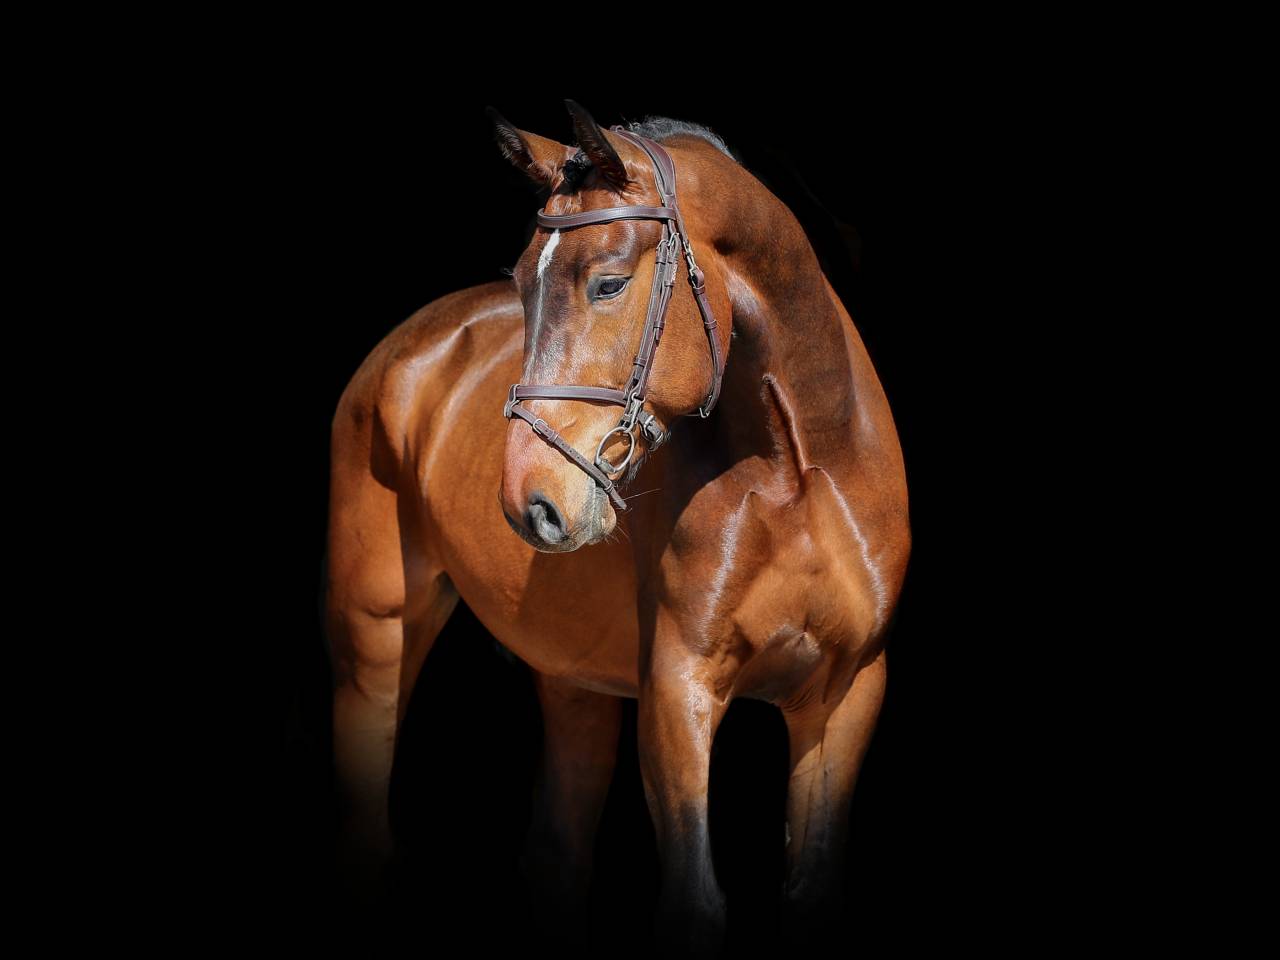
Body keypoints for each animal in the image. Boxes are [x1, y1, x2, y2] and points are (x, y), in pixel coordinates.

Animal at [324, 101, 911, 954]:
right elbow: (695, 903)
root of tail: (409, 345)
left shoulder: (846, 693)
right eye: (521, 285)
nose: (529, 503)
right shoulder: (679, 688)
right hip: (373, 640)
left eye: (607, 283)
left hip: (572, 683)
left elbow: (811, 889)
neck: (799, 472)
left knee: (555, 854)